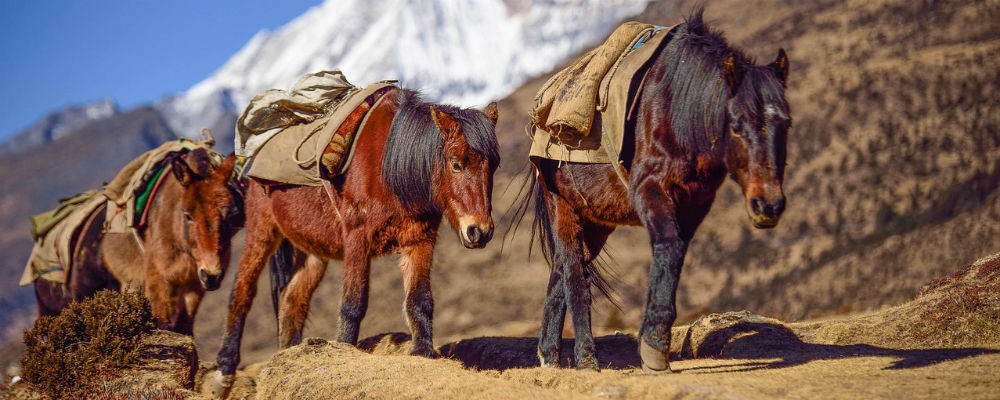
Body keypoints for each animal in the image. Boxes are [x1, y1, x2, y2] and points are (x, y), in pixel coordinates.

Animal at [34, 148, 242, 334]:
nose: (212, 275)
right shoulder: (157, 285)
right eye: (187, 215)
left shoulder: (193, 289)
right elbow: (163, 325)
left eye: (232, 214)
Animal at [215, 88, 504, 394]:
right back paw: (224, 372)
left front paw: (422, 353)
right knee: (242, 292)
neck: (391, 167)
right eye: (456, 163)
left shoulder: (420, 240)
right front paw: (344, 349)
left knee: (293, 300)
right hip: (262, 232)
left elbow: (420, 300)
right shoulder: (357, 239)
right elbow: (353, 304)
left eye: (494, 165)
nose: (480, 231)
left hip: (312, 252)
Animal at [524, 11, 796, 372]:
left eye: (786, 124)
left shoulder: (695, 204)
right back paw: (585, 358)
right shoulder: (649, 190)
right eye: (737, 126)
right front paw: (653, 348)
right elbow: (668, 245)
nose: (768, 206)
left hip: (595, 221)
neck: (680, 110)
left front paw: (656, 343)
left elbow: (677, 252)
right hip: (563, 206)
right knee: (573, 273)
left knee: (561, 269)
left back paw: (550, 356)